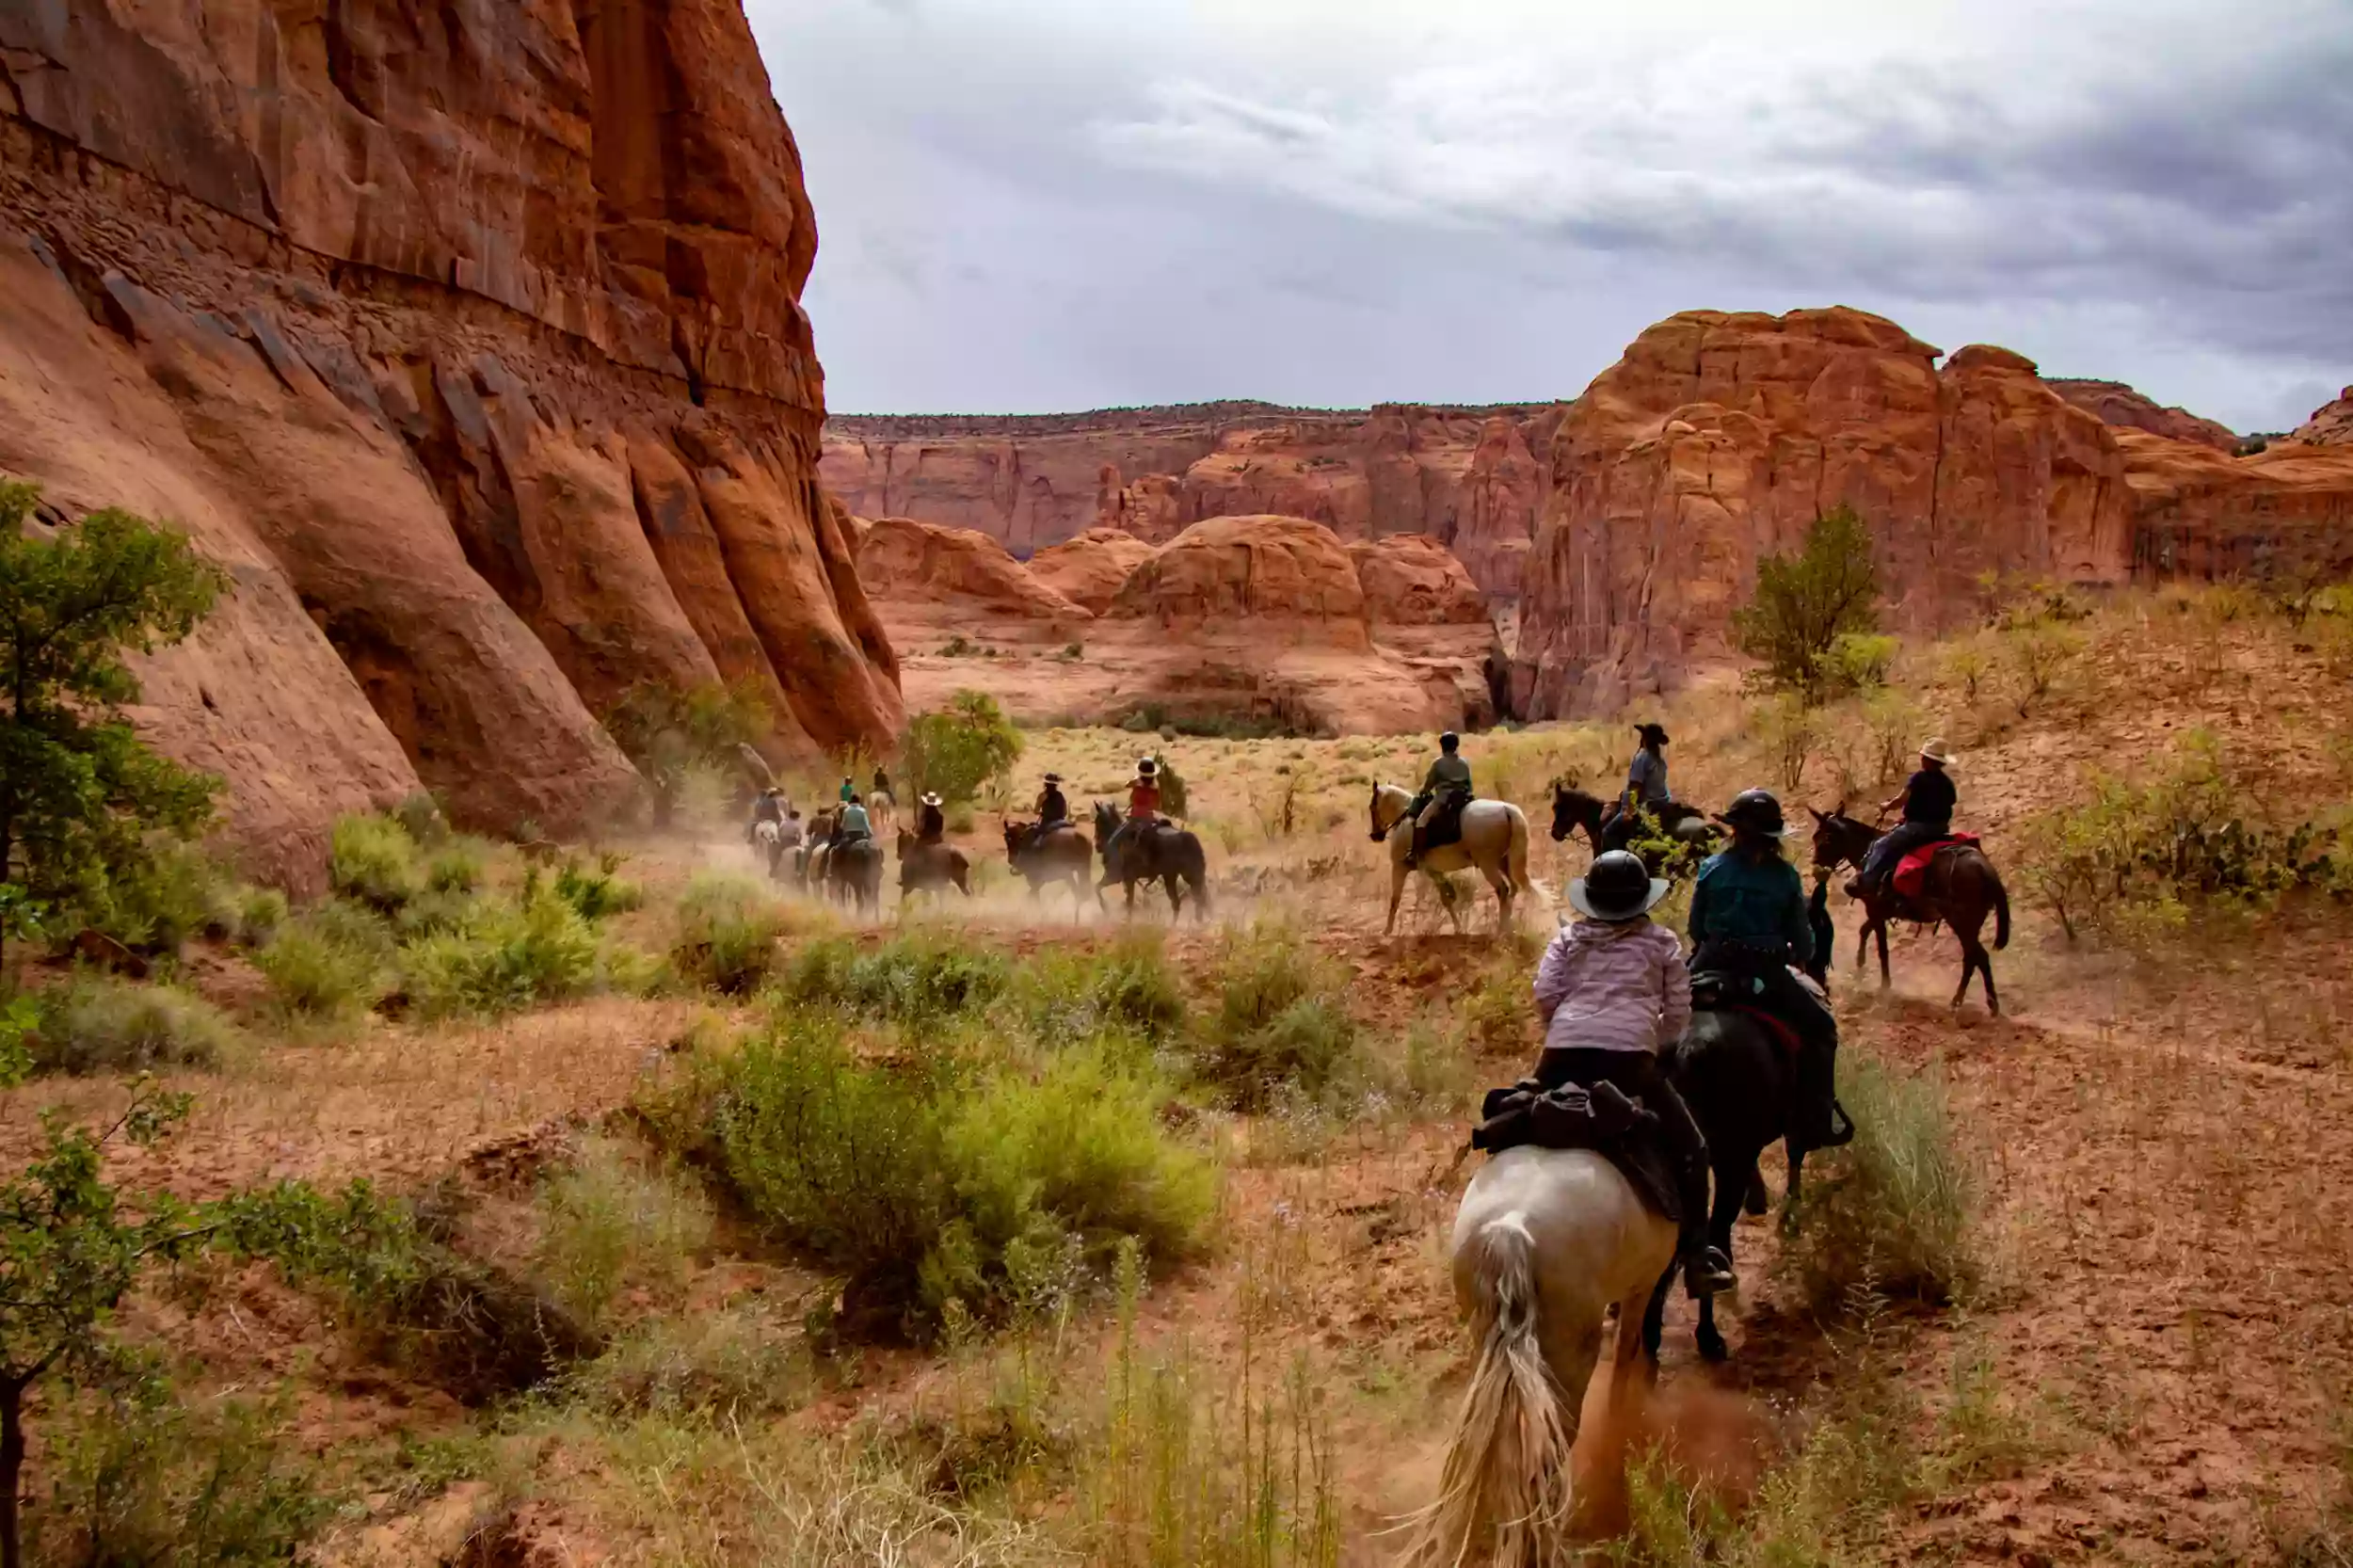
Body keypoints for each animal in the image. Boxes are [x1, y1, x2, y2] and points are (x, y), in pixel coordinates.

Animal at [1092, 800, 1214, 922]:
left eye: (1097, 821)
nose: (1097, 846)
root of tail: (1190, 839)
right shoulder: (1128, 879)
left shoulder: (1117, 877)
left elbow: (1105, 891)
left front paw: (1108, 910)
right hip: (1176, 876)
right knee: (1187, 900)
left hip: (1185, 876)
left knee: (1196, 898)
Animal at [1374, 776, 1534, 932]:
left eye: (1372, 806)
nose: (1375, 836)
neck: (1405, 818)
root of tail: (1507, 809)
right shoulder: (1434, 871)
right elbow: (1447, 898)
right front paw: (1458, 927)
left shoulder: (1399, 868)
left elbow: (1395, 898)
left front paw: (1387, 930)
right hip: (1503, 862)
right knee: (1513, 887)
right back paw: (1508, 925)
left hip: (1488, 865)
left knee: (1503, 890)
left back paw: (1501, 928)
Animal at [1402, 1134, 1685, 1562]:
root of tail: (1511, 1228)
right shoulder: (1643, 1285)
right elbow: (1627, 1355)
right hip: (1570, 1356)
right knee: (1555, 1443)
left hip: (1485, 1338)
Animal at [1807, 805, 2014, 1012]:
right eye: (1814, 837)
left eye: (1825, 839)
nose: (1816, 867)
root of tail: (1984, 867)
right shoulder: (1879, 912)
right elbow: (1864, 931)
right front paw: (1860, 968)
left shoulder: (1875, 911)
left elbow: (1882, 949)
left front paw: (1884, 985)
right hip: (1970, 925)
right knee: (1972, 958)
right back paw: (1966, 1000)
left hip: (1961, 923)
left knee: (1978, 957)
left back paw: (1980, 1002)